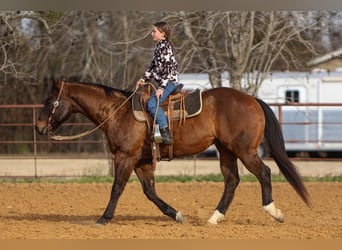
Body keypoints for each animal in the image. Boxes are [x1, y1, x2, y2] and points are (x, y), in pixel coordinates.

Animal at [34, 80, 310, 225]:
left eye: (50, 101)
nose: (38, 127)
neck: (117, 112)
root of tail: (252, 100)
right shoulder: (142, 161)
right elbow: (150, 192)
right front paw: (176, 214)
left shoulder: (125, 157)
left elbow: (117, 188)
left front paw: (104, 218)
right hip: (226, 150)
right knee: (232, 180)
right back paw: (215, 217)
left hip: (245, 150)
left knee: (264, 172)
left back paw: (273, 211)